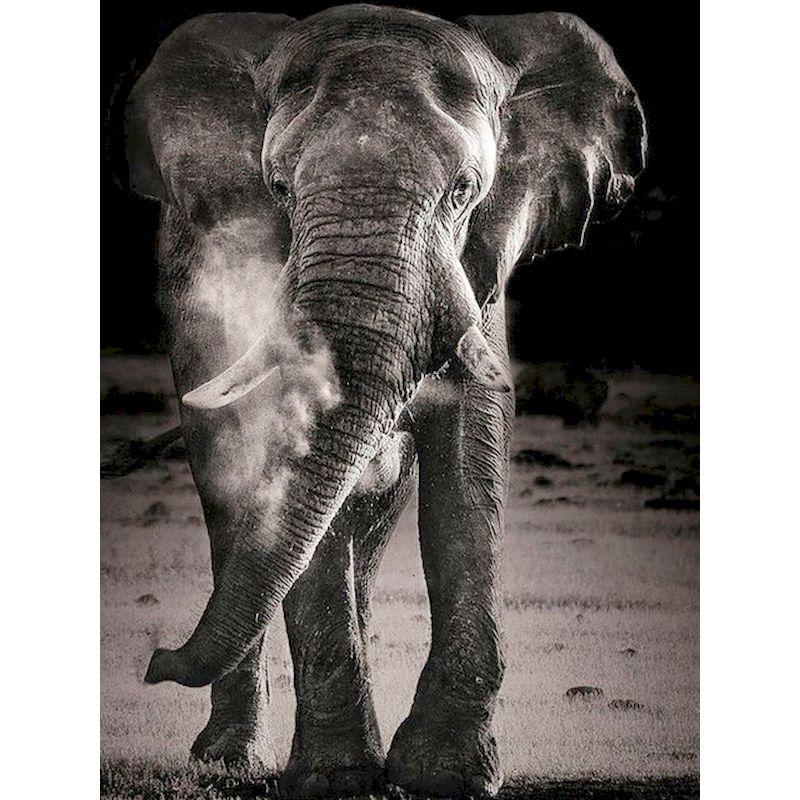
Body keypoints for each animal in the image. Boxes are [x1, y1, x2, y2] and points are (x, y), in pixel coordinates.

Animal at [124, 4, 646, 797]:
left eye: (465, 190)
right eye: (278, 188)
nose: (155, 661)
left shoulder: (477, 267)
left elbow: (471, 457)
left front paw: (446, 775)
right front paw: (339, 781)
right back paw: (229, 761)